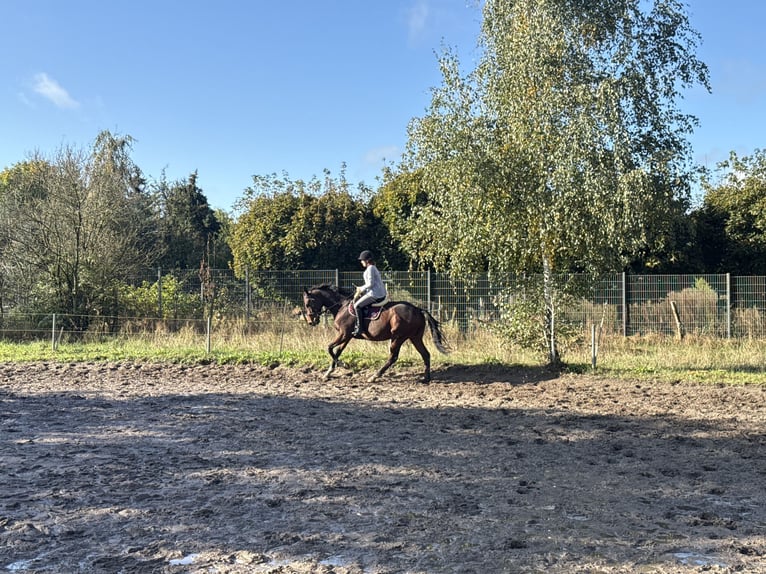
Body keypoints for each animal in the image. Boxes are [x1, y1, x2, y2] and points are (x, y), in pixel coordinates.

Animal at [304, 284, 450, 382]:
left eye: (307, 303)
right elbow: (337, 351)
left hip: (398, 337)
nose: (311, 321)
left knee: (393, 357)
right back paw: (426, 378)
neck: (342, 306)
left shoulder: (343, 334)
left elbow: (329, 348)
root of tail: (418, 309)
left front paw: (343, 365)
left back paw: (375, 376)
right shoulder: (347, 336)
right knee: (425, 354)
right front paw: (329, 372)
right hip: (415, 337)